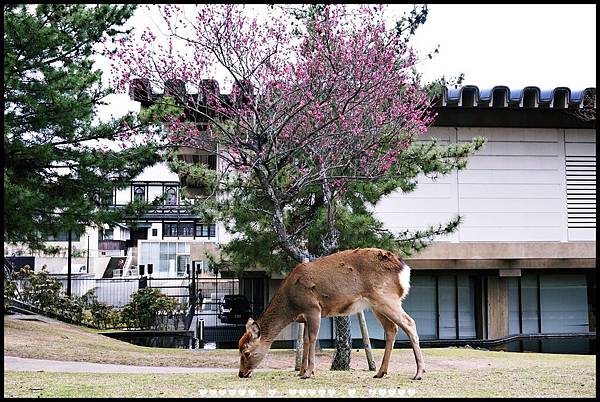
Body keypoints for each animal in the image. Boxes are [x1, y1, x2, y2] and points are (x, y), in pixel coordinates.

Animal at [237, 247, 424, 382]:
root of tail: (404, 268)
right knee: (391, 329)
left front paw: (308, 372)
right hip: (376, 305)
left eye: (246, 353)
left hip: (386, 297)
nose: (241, 373)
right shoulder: (304, 318)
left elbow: (312, 339)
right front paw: (301, 371)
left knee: (410, 323)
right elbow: (305, 340)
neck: (291, 305)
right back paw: (380, 372)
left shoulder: (313, 308)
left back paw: (418, 373)